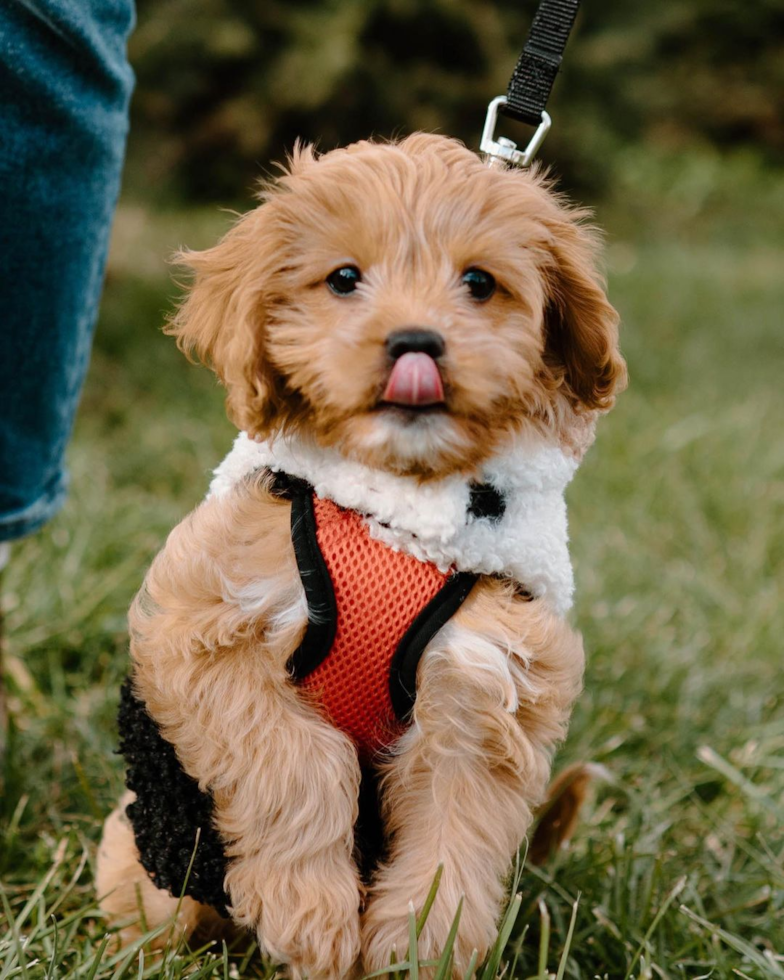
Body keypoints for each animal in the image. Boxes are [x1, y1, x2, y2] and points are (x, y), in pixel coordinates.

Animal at [96, 134, 624, 976]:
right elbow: (300, 758)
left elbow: (454, 830)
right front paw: (310, 914)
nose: (416, 343)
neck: (399, 511)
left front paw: (422, 944)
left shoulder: (483, 679)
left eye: (480, 282)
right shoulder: (206, 631)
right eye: (344, 278)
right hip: (151, 858)